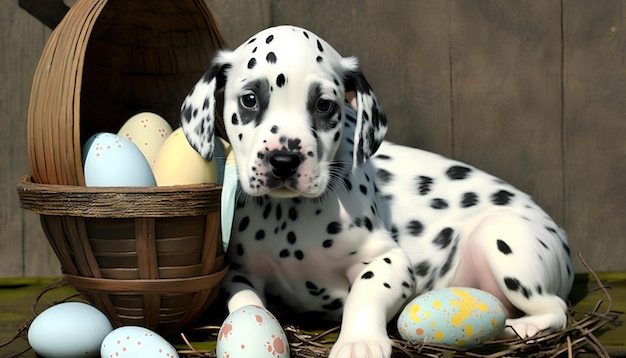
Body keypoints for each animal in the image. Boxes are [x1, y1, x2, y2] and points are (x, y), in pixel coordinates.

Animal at [179, 25, 572, 358]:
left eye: (324, 104)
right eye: (249, 99)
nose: (284, 160)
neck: (288, 216)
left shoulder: (389, 260)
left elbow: (365, 292)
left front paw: (359, 342)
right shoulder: (239, 272)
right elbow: (247, 303)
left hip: (502, 239)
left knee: (556, 310)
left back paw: (519, 328)